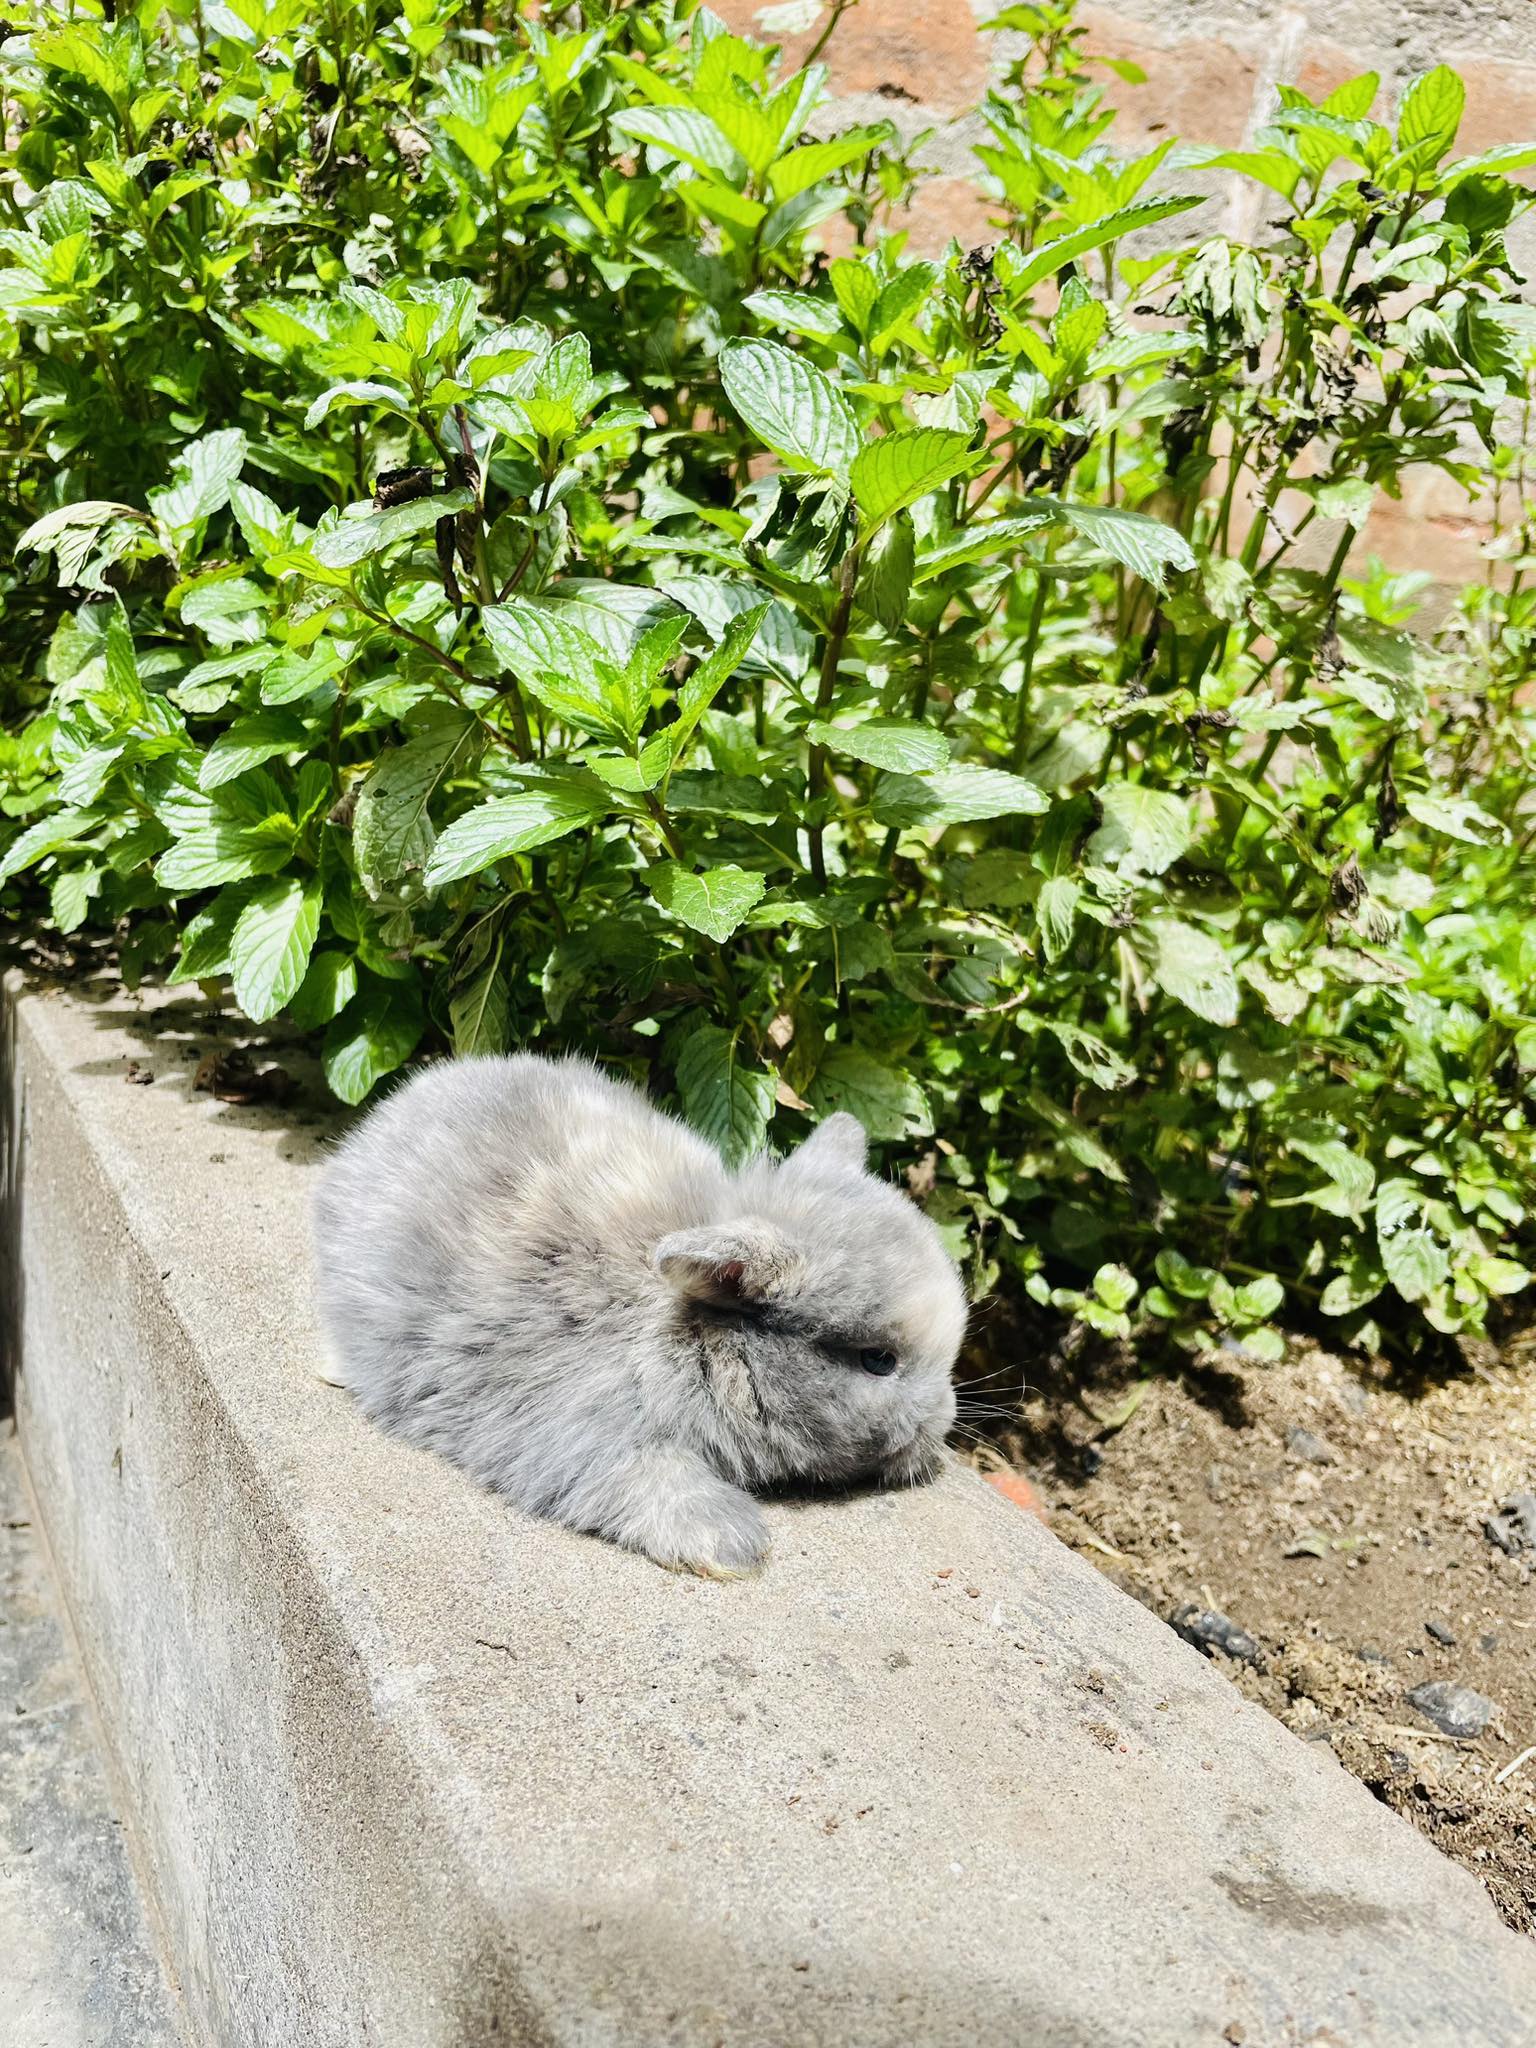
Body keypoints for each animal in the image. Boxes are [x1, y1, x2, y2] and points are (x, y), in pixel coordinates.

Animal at [310, 1052, 966, 1576]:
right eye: (877, 1360)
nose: (941, 1429)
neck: (682, 1336)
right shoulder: (565, 1421)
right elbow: (642, 1471)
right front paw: (731, 1546)